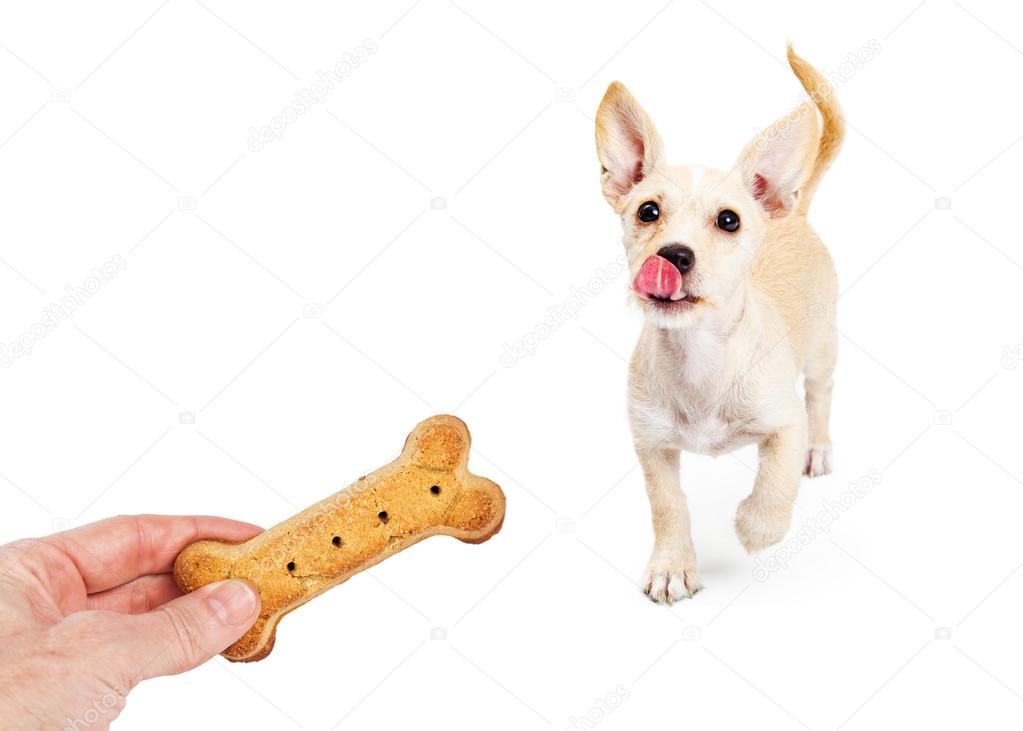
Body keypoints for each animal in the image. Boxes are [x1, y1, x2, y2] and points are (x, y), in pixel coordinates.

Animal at [597, 47, 842, 605]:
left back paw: (819, 450)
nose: (673, 256)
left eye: (729, 220)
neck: (700, 355)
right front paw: (672, 566)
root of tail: (794, 215)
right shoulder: (652, 446)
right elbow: (667, 507)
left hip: (822, 352)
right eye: (648, 212)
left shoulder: (784, 424)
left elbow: (775, 484)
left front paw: (755, 527)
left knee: (820, 399)